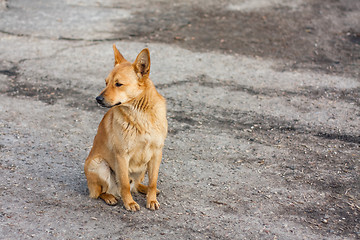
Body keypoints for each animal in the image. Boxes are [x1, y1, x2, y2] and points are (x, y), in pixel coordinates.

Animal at [84, 45, 167, 212]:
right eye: (106, 83)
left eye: (118, 84)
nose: (98, 99)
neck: (140, 114)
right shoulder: (122, 155)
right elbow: (124, 185)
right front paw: (129, 203)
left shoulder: (156, 153)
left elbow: (153, 181)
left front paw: (151, 199)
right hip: (98, 164)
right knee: (102, 191)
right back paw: (110, 197)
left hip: (143, 168)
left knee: (136, 185)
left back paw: (144, 188)